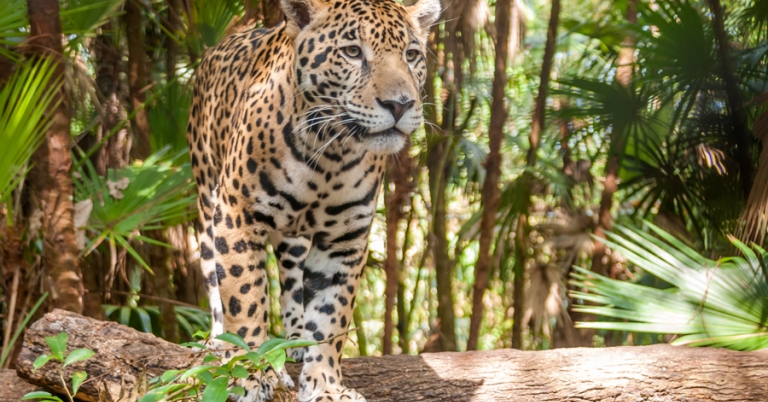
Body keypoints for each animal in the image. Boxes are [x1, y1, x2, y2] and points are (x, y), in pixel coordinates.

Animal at [186, 0, 440, 400]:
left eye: (411, 55)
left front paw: (325, 382)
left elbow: (331, 313)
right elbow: (244, 297)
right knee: (214, 276)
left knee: (291, 280)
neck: (330, 155)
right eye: (352, 52)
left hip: (293, 238)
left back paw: (293, 342)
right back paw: (218, 342)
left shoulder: (344, 239)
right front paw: (248, 372)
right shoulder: (237, 216)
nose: (400, 105)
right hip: (206, 199)